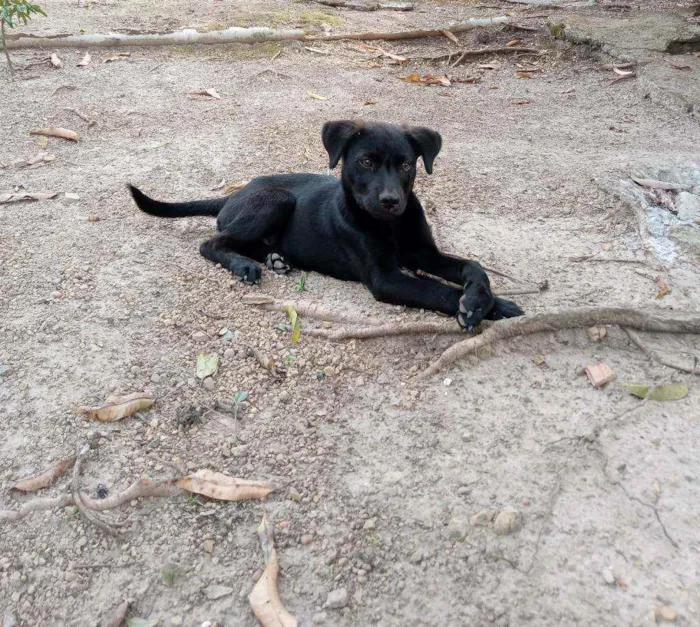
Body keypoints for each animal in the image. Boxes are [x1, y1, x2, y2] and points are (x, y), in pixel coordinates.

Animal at [130, 119, 524, 332]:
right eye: (366, 162)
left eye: (406, 166)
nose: (390, 201)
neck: (389, 226)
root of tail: (234, 194)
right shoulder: (385, 278)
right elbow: (437, 290)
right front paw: (490, 306)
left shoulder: (423, 253)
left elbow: (472, 266)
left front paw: (480, 298)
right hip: (277, 199)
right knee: (211, 243)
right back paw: (245, 265)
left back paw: (275, 258)